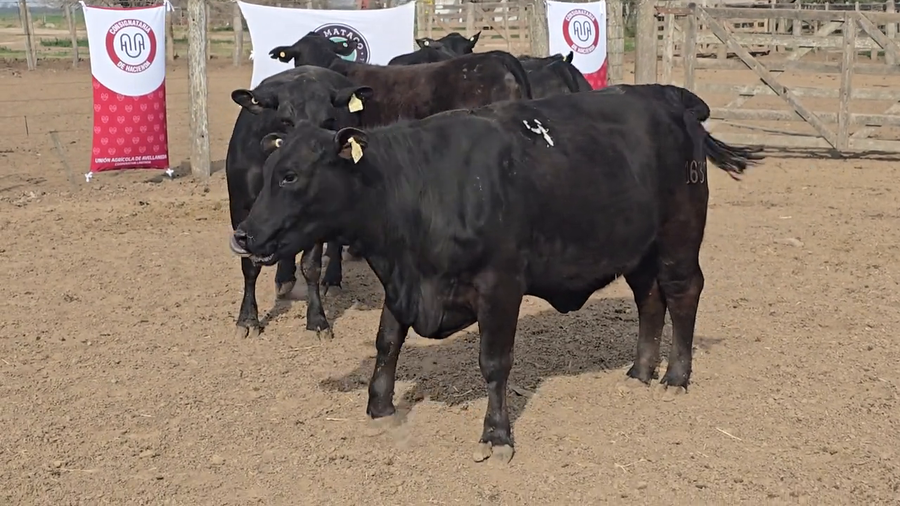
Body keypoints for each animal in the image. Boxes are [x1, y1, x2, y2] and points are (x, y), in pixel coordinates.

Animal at [226, 65, 371, 339]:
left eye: (328, 120)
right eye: (286, 120)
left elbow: (310, 265)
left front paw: (317, 320)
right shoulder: (241, 208)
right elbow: (249, 265)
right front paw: (247, 319)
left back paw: (332, 280)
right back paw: (284, 278)